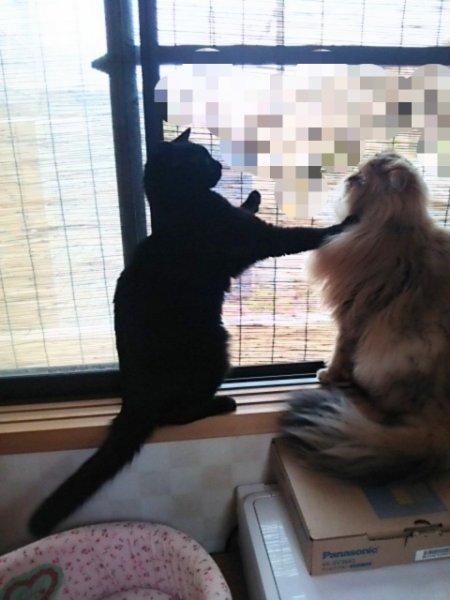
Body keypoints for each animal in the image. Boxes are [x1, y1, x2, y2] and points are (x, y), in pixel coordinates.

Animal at [29, 128, 355, 536]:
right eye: (200, 158)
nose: (218, 164)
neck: (180, 208)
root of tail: (133, 402)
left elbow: (247, 209)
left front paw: (252, 196)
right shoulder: (257, 239)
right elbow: (303, 236)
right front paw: (346, 224)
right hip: (216, 348)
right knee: (174, 415)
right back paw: (222, 403)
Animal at [283, 152, 450, 483]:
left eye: (361, 179)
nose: (350, 175)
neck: (392, 226)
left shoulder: (352, 312)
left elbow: (340, 352)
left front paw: (328, 374)